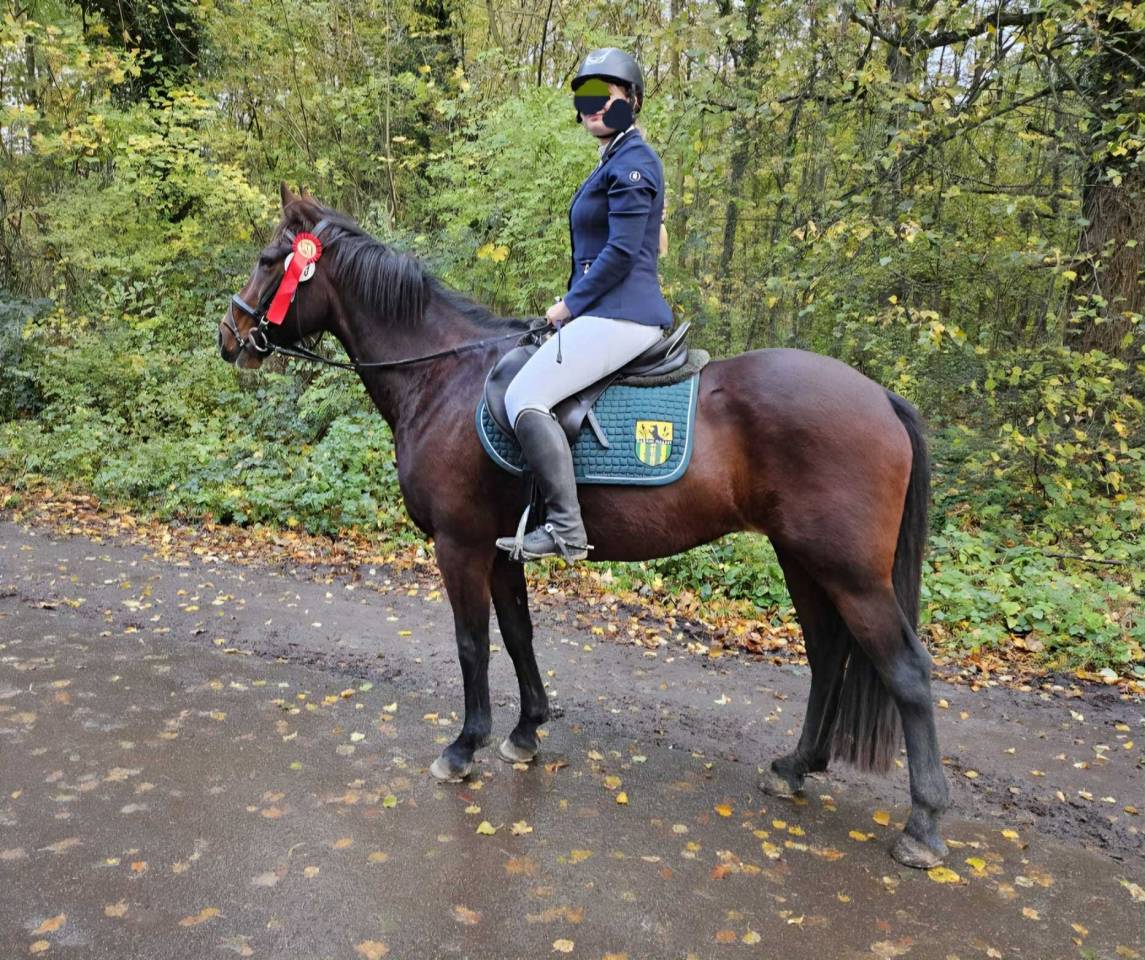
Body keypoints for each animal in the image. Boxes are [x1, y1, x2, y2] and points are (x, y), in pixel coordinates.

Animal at [216, 184, 950, 869]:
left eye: (267, 260)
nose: (229, 338)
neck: (443, 377)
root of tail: (878, 396)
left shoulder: (459, 544)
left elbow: (471, 644)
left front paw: (464, 746)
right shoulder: (500, 548)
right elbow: (517, 635)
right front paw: (525, 733)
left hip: (850, 572)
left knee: (907, 672)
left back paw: (922, 826)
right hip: (802, 559)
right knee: (828, 657)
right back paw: (796, 769)